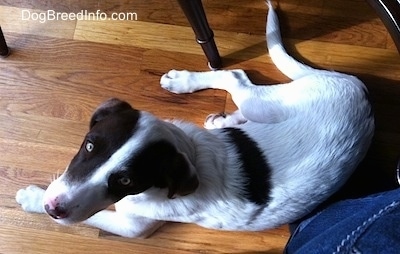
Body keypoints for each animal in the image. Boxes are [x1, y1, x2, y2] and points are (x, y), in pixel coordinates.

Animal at [15, 1, 374, 238]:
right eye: (90, 146)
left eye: (127, 181)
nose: (53, 207)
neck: (188, 151)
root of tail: (358, 89)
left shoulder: (132, 227)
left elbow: (93, 216)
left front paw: (31, 198)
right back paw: (220, 120)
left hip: (262, 103)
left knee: (236, 76)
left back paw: (185, 83)